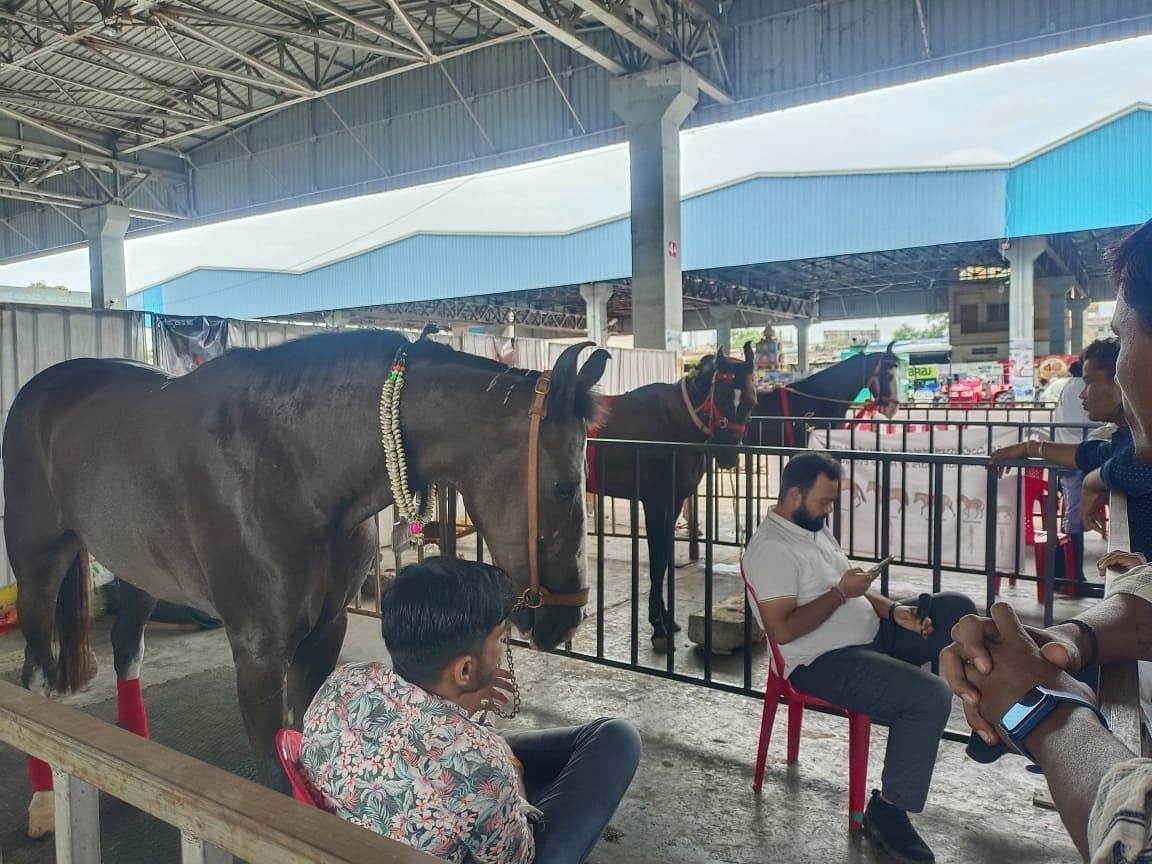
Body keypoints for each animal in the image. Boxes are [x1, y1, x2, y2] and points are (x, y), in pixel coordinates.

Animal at [4, 329, 612, 838]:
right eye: (564, 486)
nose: (566, 618)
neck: (289, 464)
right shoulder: (257, 651)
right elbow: (275, 779)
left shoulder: (325, 629)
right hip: (37, 565)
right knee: (36, 672)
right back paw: (41, 801)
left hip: (139, 568)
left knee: (127, 648)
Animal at [589, 343, 760, 649]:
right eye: (722, 396)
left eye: (751, 403)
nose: (728, 456)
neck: (673, 423)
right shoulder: (655, 502)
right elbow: (657, 561)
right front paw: (658, 626)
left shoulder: (675, 501)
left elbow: (666, 558)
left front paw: (667, 620)